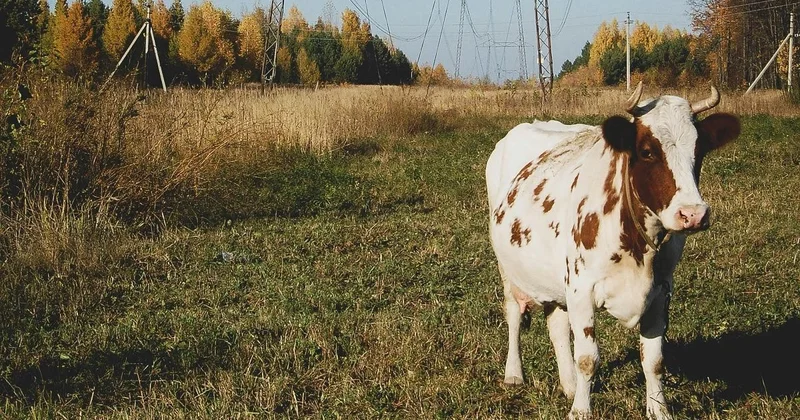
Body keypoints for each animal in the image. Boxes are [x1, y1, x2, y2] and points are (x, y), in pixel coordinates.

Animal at [485, 82, 741, 419]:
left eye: (699, 152)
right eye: (647, 151)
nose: (693, 214)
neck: (639, 251)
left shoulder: (661, 291)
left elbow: (654, 360)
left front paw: (659, 410)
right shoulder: (581, 288)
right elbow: (588, 358)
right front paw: (581, 411)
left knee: (556, 325)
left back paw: (568, 385)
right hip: (508, 268)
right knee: (514, 313)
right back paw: (514, 374)